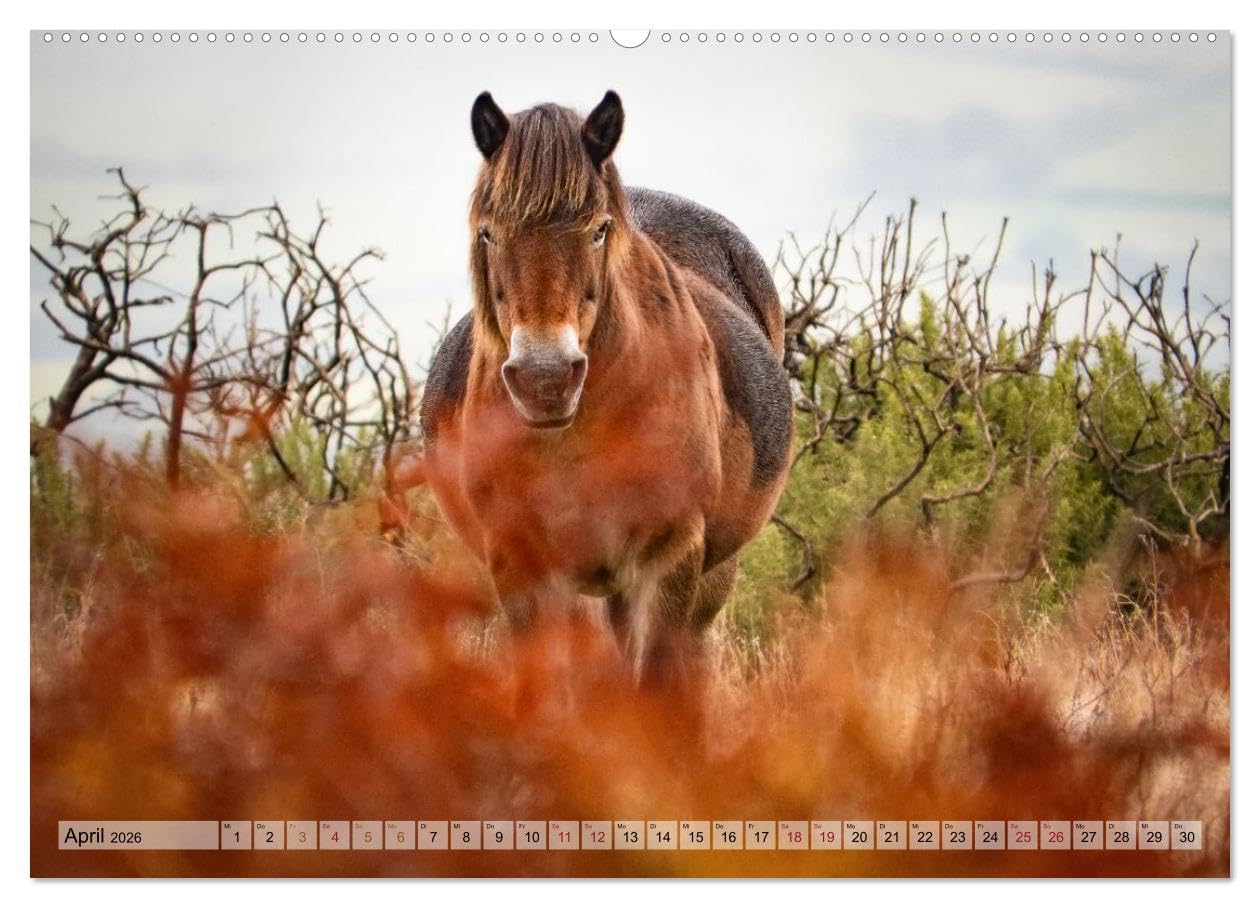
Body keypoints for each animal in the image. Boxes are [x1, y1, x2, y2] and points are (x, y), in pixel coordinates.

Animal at [420, 90, 792, 683]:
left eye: (599, 229)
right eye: (487, 231)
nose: (546, 379)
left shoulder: (669, 557)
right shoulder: (521, 564)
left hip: (709, 574)